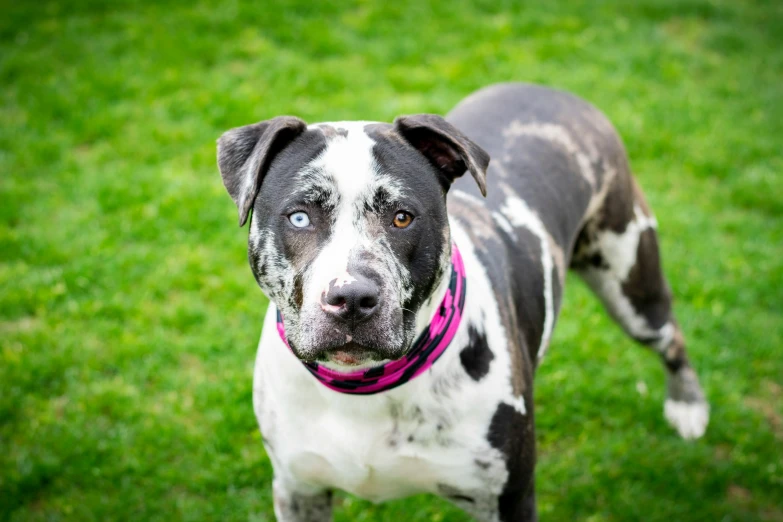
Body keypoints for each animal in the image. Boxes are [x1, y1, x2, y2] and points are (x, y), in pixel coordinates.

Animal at [216, 83, 712, 516]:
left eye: (402, 217)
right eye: (299, 216)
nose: (352, 298)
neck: (366, 388)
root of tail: (553, 91)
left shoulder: (509, 499)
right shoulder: (300, 491)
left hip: (630, 283)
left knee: (671, 335)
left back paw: (687, 406)